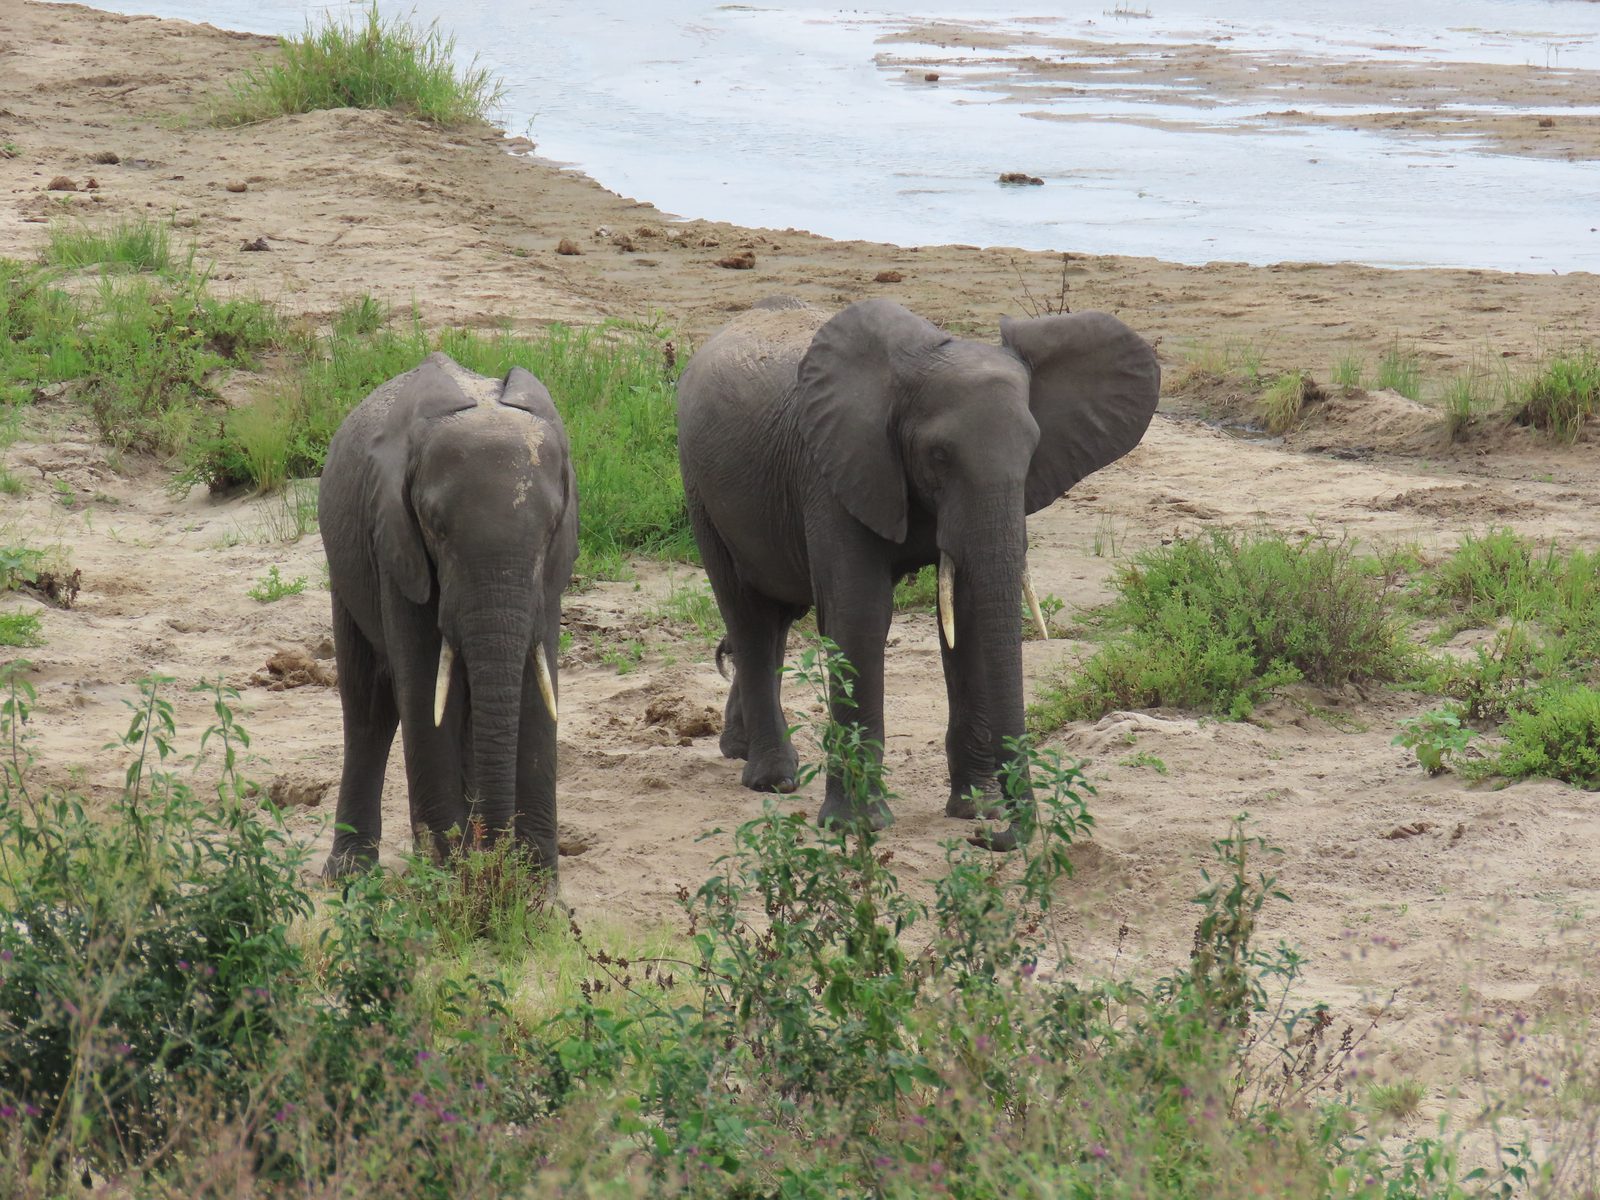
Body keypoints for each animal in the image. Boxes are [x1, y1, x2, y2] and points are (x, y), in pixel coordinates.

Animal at [318, 352, 578, 878]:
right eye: (435, 527)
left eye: (551, 529)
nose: (495, 860)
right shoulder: (394, 543)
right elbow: (422, 690)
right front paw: (449, 883)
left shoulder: (548, 578)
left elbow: (537, 687)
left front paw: (536, 892)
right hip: (345, 566)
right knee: (368, 708)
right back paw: (350, 874)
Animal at [676, 298, 1159, 849]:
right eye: (939, 455)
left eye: (1032, 452)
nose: (994, 839)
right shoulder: (833, 469)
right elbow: (859, 615)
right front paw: (857, 826)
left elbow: (968, 618)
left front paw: (976, 810)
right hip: (700, 488)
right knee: (749, 616)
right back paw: (772, 780)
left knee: (776, 617)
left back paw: (738, 749)